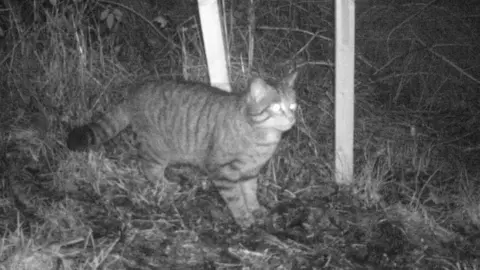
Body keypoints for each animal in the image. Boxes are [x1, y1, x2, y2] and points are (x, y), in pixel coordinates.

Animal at [65, 73, 298, 229]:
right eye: (276, 107)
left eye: (293, 106)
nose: (292, 118)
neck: (262, 137)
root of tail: (133, 93)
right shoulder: (222, 171)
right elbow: (236, 198)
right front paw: (244, 218)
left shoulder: (250, 172)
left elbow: (249, 192)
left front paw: (256, 209)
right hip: (158, 149)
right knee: (147, 167)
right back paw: (165, 186)